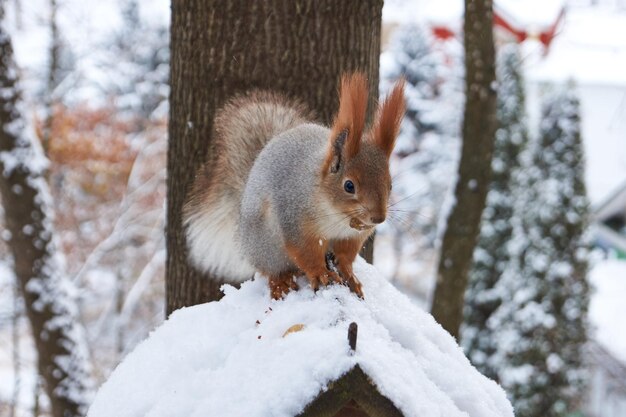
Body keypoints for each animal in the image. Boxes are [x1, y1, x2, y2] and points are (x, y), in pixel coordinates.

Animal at [182, 72, 404, 300]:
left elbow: (345, 255)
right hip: (266, 245)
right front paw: (321, 274)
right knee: (271, 269)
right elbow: (306, 252)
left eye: (390, 185)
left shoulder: (351, 237)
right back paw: (280, 282)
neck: (337, 214)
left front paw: (349, 275)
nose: (378, 218)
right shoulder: (294, 219)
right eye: (349, 186)